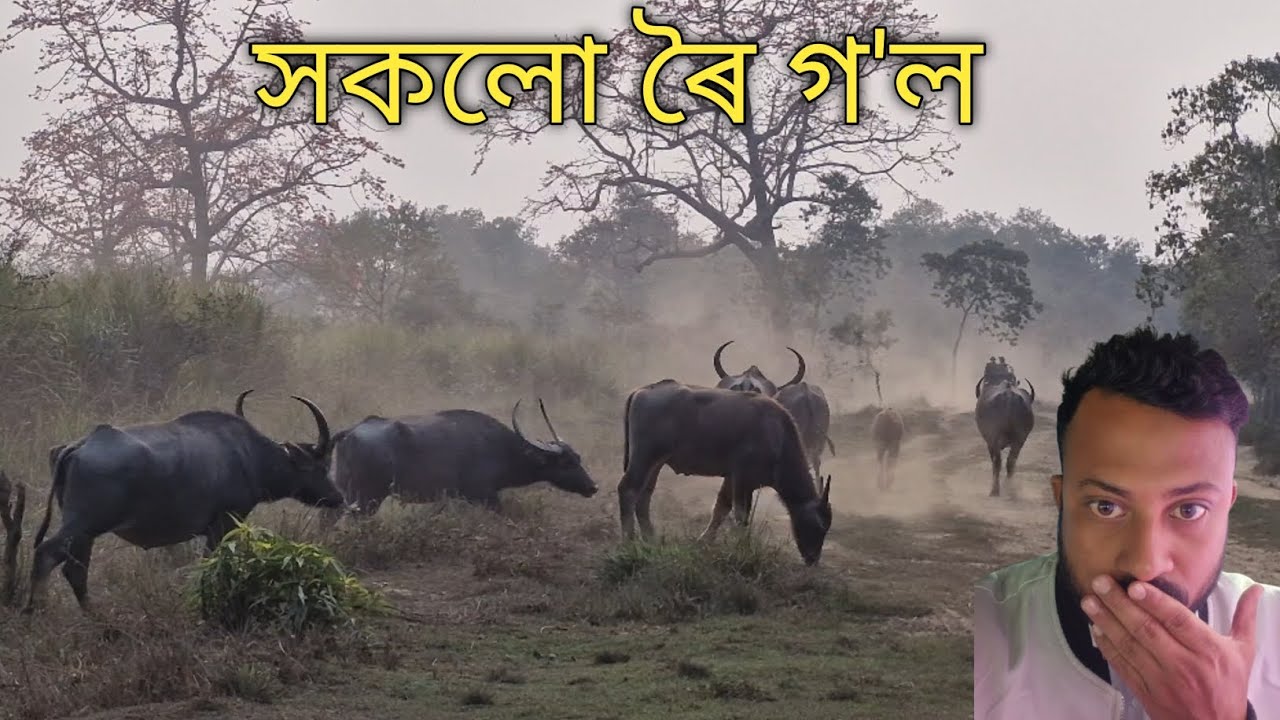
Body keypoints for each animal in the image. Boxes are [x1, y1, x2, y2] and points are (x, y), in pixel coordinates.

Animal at [25, 393, 342, 612]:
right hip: (83, 525)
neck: (249, 455)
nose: (337, 497)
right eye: (321, 465)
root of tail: (79, 446)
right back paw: (37, 610)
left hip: (85, 533)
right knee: (47, 554)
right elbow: (210, 563)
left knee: (75, 569)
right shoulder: (224, 522)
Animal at [327, 399, 598, 515]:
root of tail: (350, 432)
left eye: (579, 457)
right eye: (566, 462)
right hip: (367, 497)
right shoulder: (484, 495)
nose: (593, 487)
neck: (502, 448)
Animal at [618, 379, 833, 565]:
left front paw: (704, 541)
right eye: (818, 526)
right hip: (644, 456)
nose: (813, 559)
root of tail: (644, 390)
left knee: (644, 496)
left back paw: (650, 540)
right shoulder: (741, 478)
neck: (777, 436)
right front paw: (743, 547)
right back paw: (629, 542)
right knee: (628, 490)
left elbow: (721, 509)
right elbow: (741, 515)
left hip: (656, 463)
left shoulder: (732, 479)